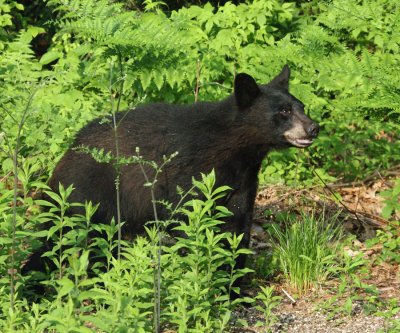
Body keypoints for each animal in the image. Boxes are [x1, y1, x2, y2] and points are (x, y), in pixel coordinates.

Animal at [24, 65, 318, 272]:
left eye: (302, 107)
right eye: (283, 111)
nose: (314, 127)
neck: (234, 149)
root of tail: (67, 154)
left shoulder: (242, 179)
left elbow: (236, 223)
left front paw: (231, 283)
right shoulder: (188, 172)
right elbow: (189, 218)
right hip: (88, 194)